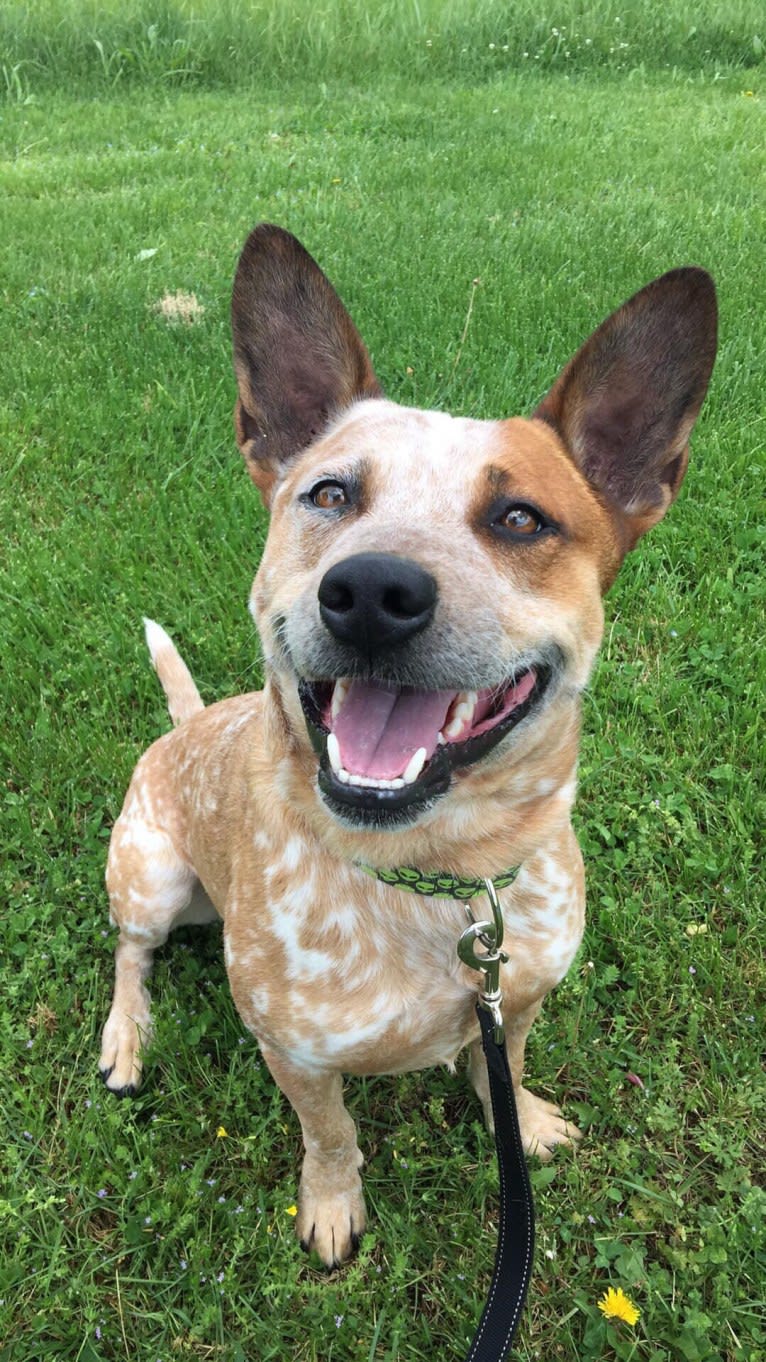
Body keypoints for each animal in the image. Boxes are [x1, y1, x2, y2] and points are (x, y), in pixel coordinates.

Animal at [98, 223, 714, 1263]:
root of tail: (184, 727)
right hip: (150, 879)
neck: (439, 873)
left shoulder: (519, 994)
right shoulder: (296, 1054)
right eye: (329, 493)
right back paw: (126, 1037)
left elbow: (504, 1062)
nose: (371, 593)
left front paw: (523, 1119)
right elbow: (332, 1133)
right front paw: (332, 1203)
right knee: (130, 960)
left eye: (520, 518)